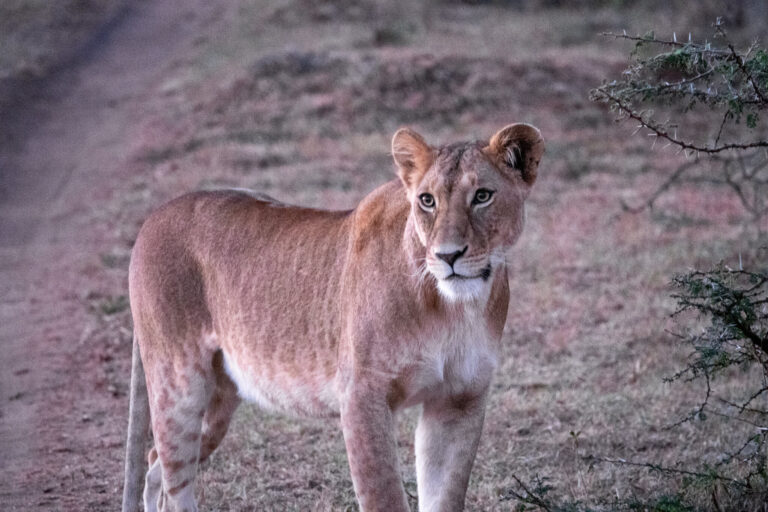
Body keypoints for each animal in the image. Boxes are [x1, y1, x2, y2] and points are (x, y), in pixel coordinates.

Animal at [121, 123, 544, 512]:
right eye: (427, 200)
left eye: (482, 196)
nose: (448, 255)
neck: (453, 309)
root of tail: (151, 218)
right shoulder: (361, 394)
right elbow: (384, 497)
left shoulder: (460, 399)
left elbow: (445, 496)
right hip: (178, 384)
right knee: (174, 477)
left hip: (217, 403)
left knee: (156, 461)